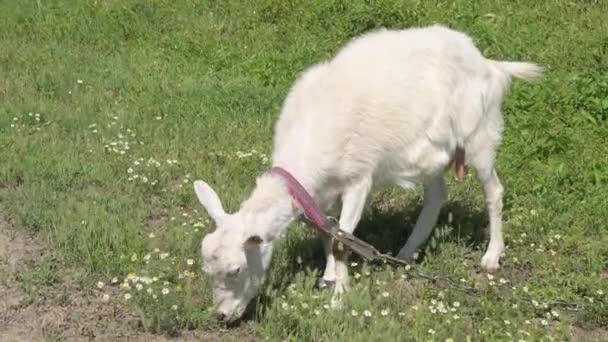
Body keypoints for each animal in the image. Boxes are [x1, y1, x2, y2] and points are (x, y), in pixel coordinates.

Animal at [194, 24, 540, 324]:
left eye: (236, 270)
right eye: (207, 270)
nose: (221, 316)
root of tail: (489, 64)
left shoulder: (359, 180)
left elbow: (341, 242)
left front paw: (338, 300)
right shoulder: (323, 193)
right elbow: (329, 232)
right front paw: (330, 279)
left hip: (479, 135)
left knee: (494, 191)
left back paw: (491, 257)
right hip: (433, 151)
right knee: (436, 195)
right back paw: (406, 253)